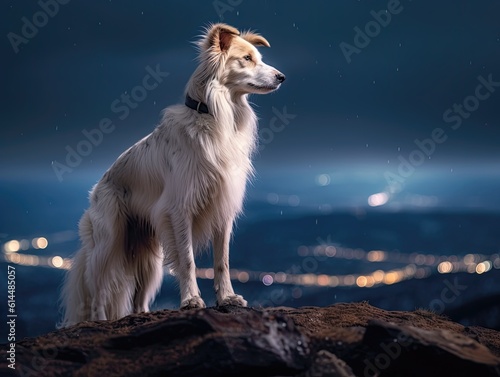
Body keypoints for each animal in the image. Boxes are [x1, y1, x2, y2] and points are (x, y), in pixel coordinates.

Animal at [60, 23, 286, 324]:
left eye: (258, 57)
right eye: (247, 59)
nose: (282, 77)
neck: (212, 114)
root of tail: (96, 188)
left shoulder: (222, 209)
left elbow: (222, 261)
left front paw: (227, 298)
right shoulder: (179, 209)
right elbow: (188, 260)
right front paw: (191, 300)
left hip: (148, 257)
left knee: (138, 297)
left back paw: (142, 315)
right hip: (109, 242)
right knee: (99, 288)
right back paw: (99, 320)